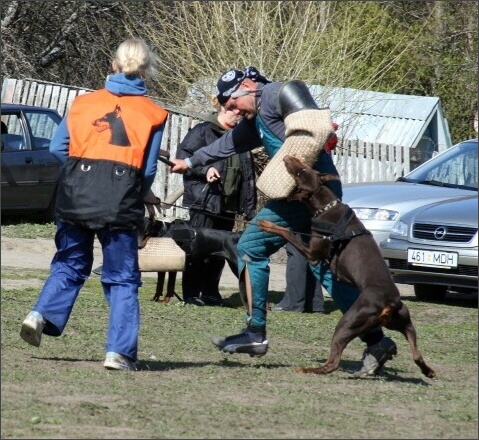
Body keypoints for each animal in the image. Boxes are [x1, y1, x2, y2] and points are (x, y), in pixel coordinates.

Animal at [258, 156, 438, 378]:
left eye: (300, 172)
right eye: (305, 168)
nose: (287, 157)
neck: (326, 207)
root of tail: (390, 303)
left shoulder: (313, 254)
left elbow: (288, 232)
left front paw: (267, 224)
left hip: (349, 323)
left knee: (332, 362)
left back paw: (308, 368)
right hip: (405, 321)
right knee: (416, 354)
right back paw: (428, 371)